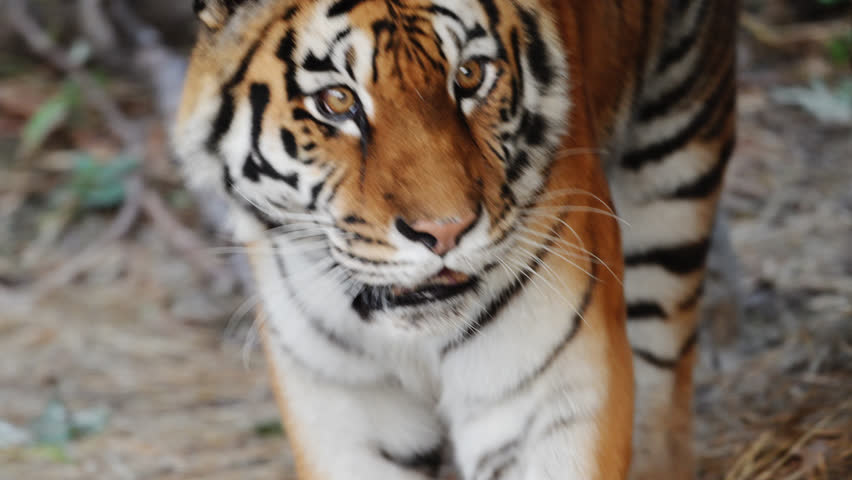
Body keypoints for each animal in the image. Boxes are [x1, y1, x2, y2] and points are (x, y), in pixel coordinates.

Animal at [173, 0, 737, 479]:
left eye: (469, 75)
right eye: (336, 101)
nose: (444, 231)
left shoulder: (551, 396)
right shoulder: (347, 405)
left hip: (677, 161)